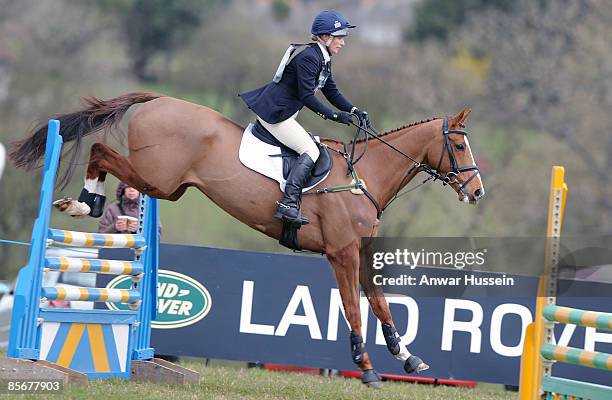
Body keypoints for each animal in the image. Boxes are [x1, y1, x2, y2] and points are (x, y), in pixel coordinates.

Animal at [9, 94, 486, 388]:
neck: (363, 177)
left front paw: (408, 359)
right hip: (158, 180)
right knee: (100, 152)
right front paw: (367, 368)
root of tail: (159, 99)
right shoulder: (341, 253)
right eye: (461, 146)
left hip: (165, 187)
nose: (477, 192)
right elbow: (354, 307)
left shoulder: (360, 255)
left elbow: (380, 304)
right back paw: (84, 203)